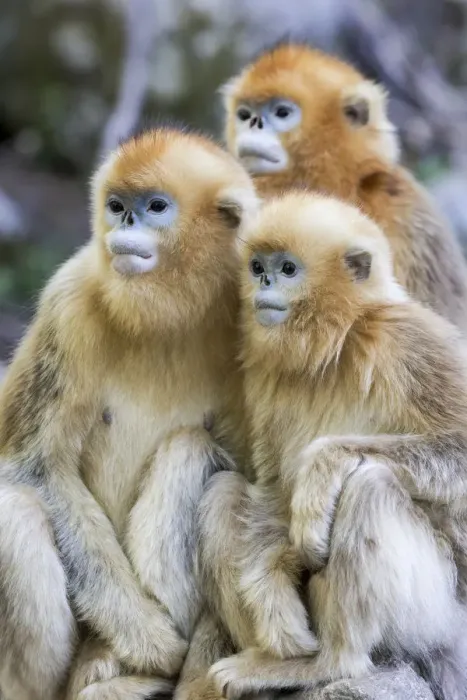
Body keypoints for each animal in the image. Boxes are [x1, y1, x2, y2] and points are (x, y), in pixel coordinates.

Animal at [0, 126, 258, 700]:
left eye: (155, 207)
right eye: (117, 206)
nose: (125, 226)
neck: (170, 318)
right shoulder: (68, 301)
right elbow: (34, 468)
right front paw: (153, 643)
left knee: (190, 447)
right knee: (17, 512)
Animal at [189, 192, 467, 700]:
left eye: (288, 269)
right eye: (257, 266)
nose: (263, 283)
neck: (339, 344)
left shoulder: (409, 342)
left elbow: (458, 449)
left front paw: (322, 464)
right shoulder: (265, 377)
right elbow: (272, 489)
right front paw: (271, 590)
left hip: (436, 616)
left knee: (369, 486)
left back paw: (328, 663)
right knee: (223, 493)